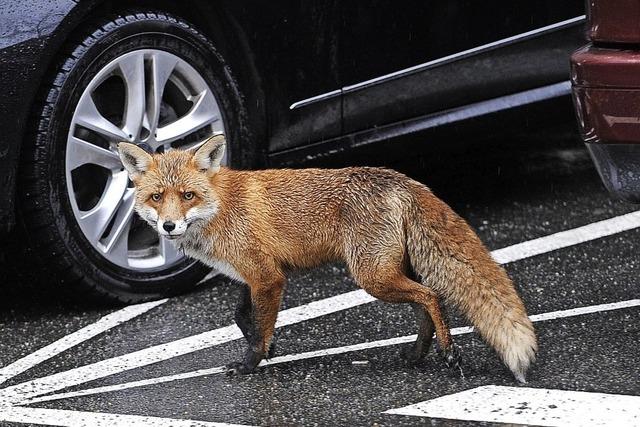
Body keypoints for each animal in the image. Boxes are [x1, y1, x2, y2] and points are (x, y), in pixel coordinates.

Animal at [119, 135, 536, 382]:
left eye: (187, 195)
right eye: (157, 197)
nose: (169, 226)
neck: (220, 208)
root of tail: (401, 178)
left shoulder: (268, 277)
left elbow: (257, 327)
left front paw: (251, 362)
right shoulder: (253, 275)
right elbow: (242, 317)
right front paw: (268, 346)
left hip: (372, 277)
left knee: (432, 296)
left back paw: (449, 353)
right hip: (390, 271)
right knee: (427, 302)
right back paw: (417, 354)